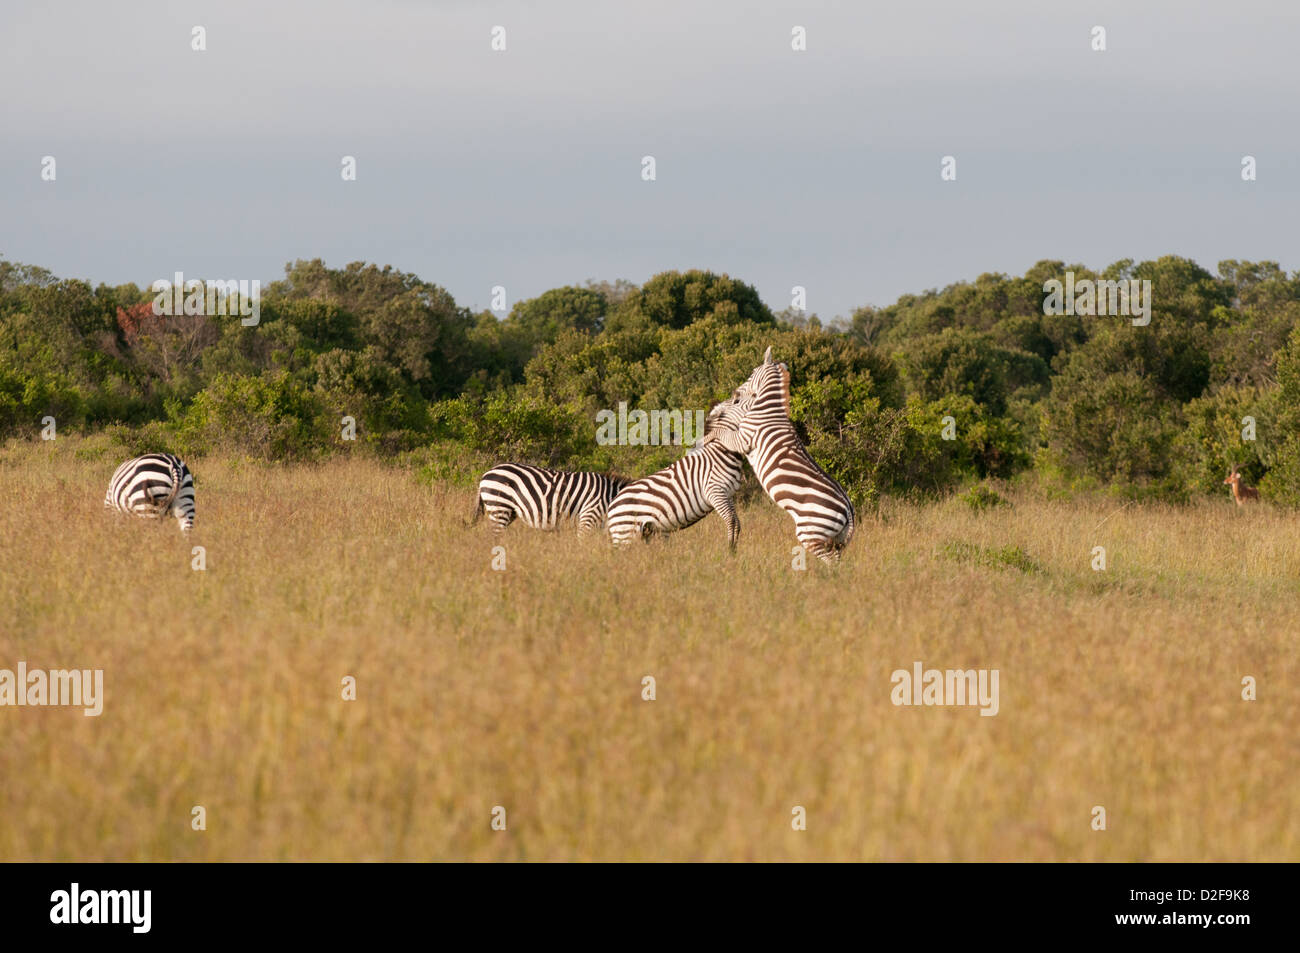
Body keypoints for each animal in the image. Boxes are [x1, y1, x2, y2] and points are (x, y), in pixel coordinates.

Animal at [603, 426, 748, 551]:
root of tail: (611, 507)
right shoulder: (715, 490)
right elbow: (731, 520)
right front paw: (730, 549)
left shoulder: (726, 494)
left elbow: (736, 522)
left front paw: (733, 550)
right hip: (625, 534)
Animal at [696, 345, 857, 561]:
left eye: (751, 373)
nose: (735, 391)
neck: (768, 410)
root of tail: (848, 508)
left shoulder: (743, 438)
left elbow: (721, 433)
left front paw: (703, 439)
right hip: (836, 537)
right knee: (837, 559)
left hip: (810, 531)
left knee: (830, 560)